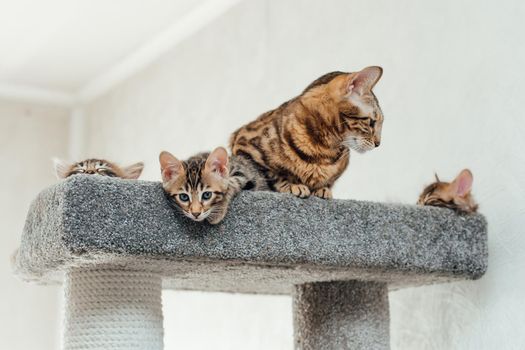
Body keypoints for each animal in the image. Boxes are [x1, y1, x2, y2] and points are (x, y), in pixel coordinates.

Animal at [231, 65, 382, 197]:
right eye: (372, 122)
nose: (378, 144)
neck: (324, 150)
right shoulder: (242, 145)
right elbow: (272, 175)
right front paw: (292, 185)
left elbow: (329, 182)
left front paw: (323, 189)